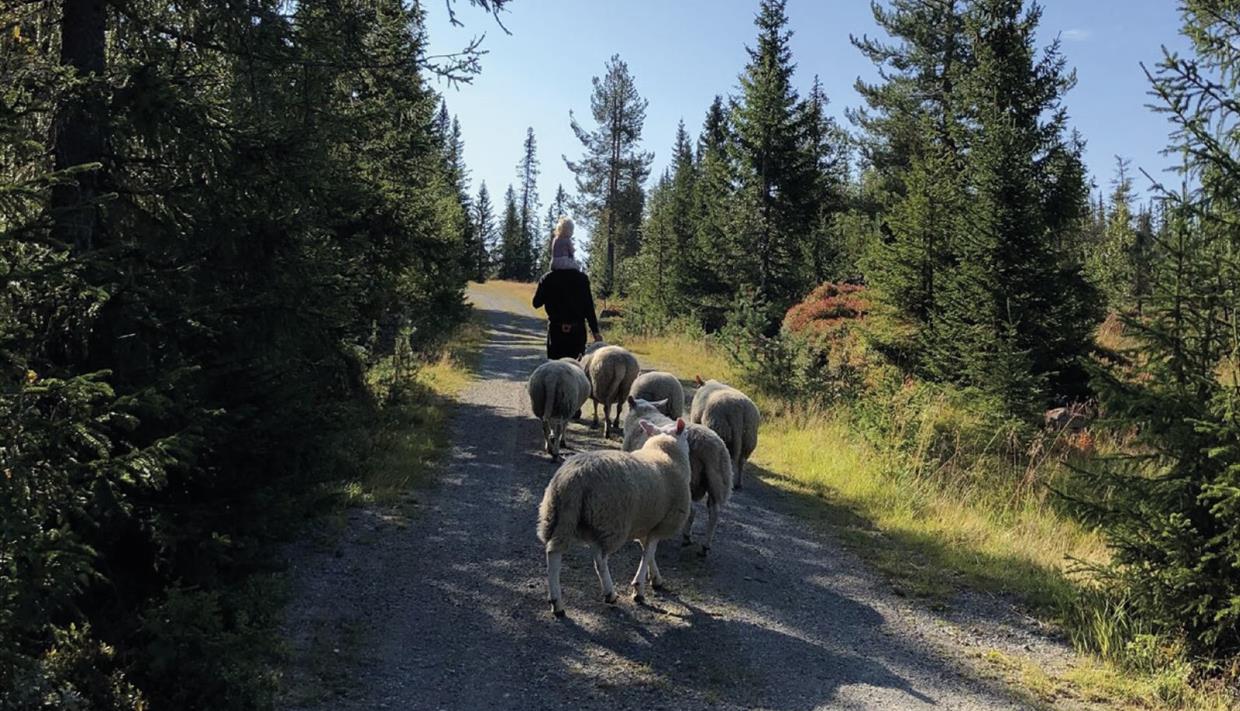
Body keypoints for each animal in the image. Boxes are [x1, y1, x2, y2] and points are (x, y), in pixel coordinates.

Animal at [538, 416, 694, 615]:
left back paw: (556, 602)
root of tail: (573, 478)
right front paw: (639, 589)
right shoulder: (662, 523)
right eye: (686, 434)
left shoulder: (645, 523)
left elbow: (648, 552)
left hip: (562, 517)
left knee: (554, 553)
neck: (664, 452)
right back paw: (609, 593)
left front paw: (655, 579)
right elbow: (648, 552)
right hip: (610, 521)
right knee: (599, 560)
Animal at [624, 397, 729, 558]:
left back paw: (686, 537)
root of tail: (709, 446)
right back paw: (704, 546)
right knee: (714, 513)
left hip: (688, 483)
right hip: (717, 481)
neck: (644, 413)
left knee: (693, 511)